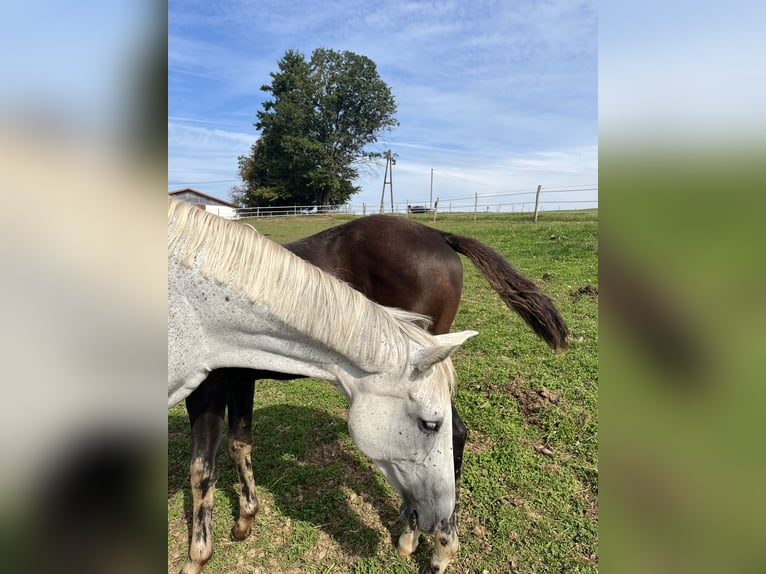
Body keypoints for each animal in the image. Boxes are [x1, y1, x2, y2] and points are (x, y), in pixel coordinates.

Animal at [180, 216, 568, 574]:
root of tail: (438, 235)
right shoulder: (240, 380)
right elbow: (240, 443)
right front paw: (245, 521)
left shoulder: (205, 387)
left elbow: (201, 469)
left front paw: (197, 557)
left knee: (455, 433)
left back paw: (434, 545)